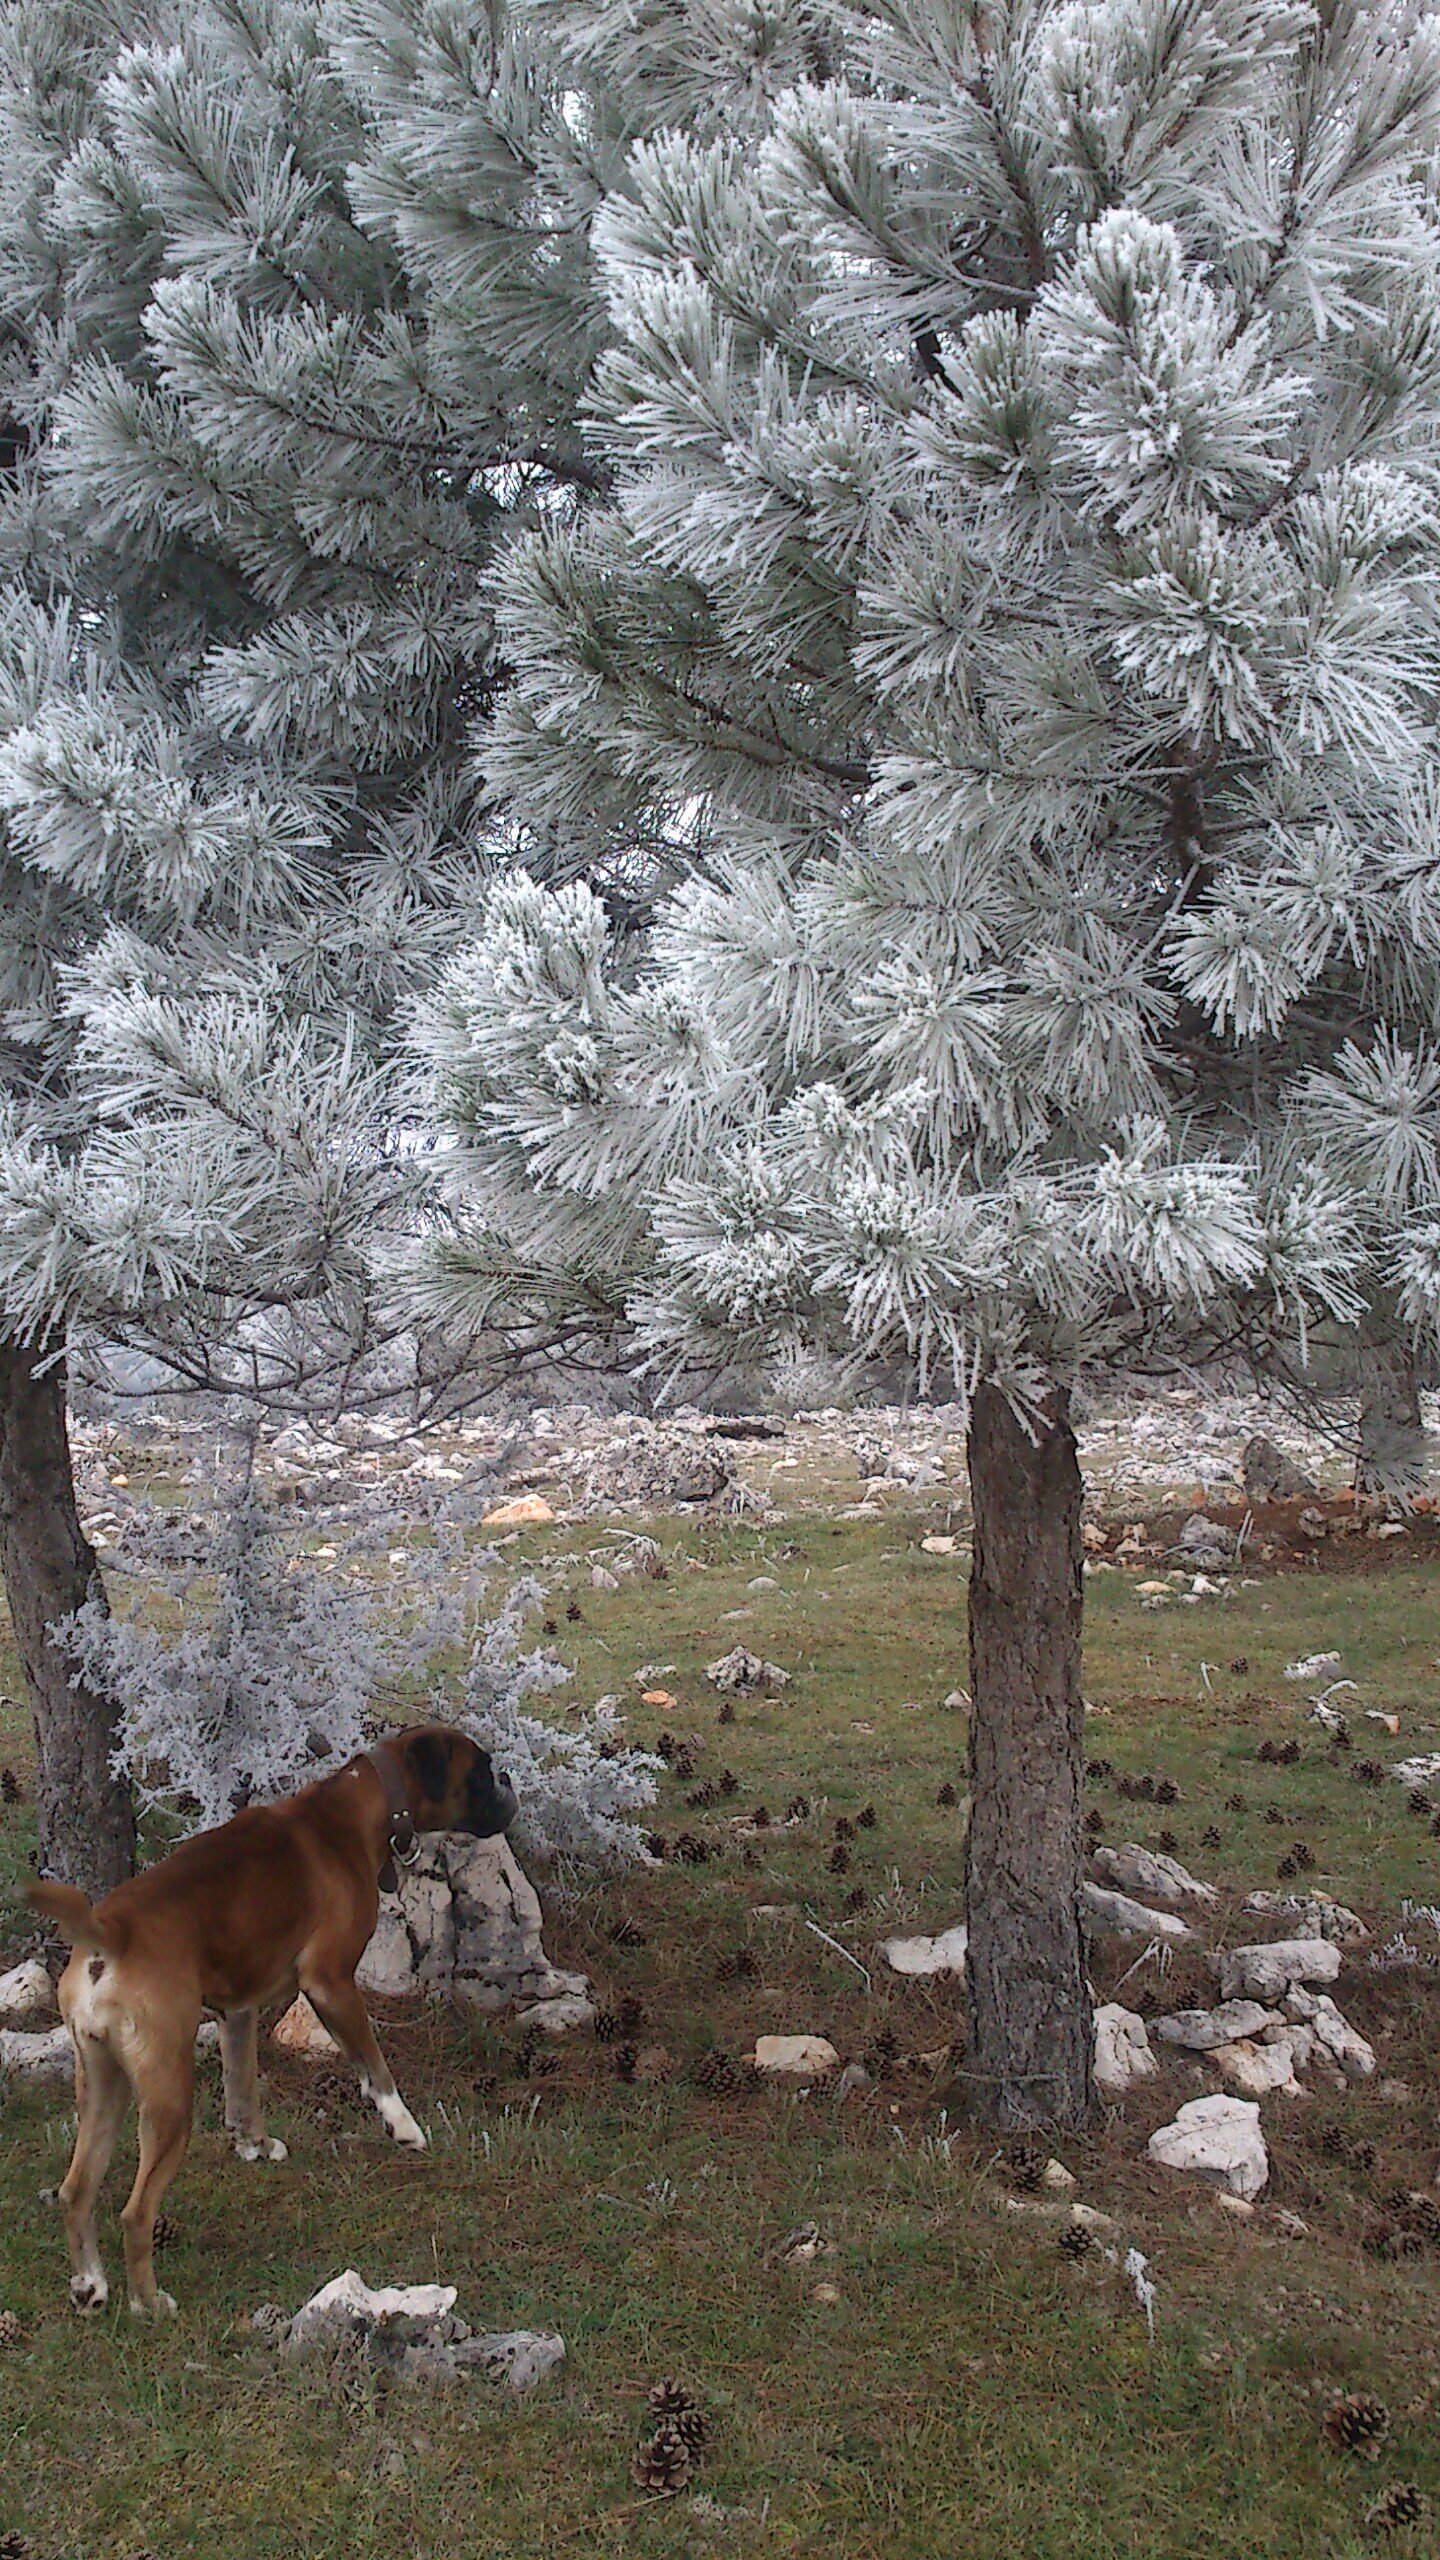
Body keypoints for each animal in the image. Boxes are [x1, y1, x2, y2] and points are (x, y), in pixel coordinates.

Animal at [28, 1720, 515, 2324]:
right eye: (482, 1770)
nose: (509, 1782)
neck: (357, 1804)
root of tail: (108, 1935)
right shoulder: (331, 1982)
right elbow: (374, 2068)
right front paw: (404, 2128)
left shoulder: (238, 2009)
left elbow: (243, 2087)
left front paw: (254, 2145)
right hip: (167, 2096)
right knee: (135, 2213)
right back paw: (149, 2302)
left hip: (102, 2084)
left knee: (77, 2191)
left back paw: (90, 2285)